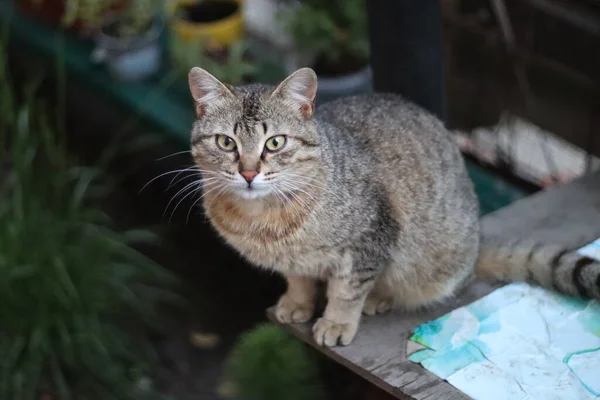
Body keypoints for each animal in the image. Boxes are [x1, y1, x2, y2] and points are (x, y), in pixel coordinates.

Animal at [188, 67, 600, 346]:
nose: (248, 173)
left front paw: (337, 322)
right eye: (226, 142)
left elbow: (347, 292)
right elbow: (300, 279)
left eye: (274, 143)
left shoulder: (370, 242)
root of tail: (476, 247)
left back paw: (381, 297)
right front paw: (297, 302)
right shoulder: (295, 261)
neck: (264, 220)